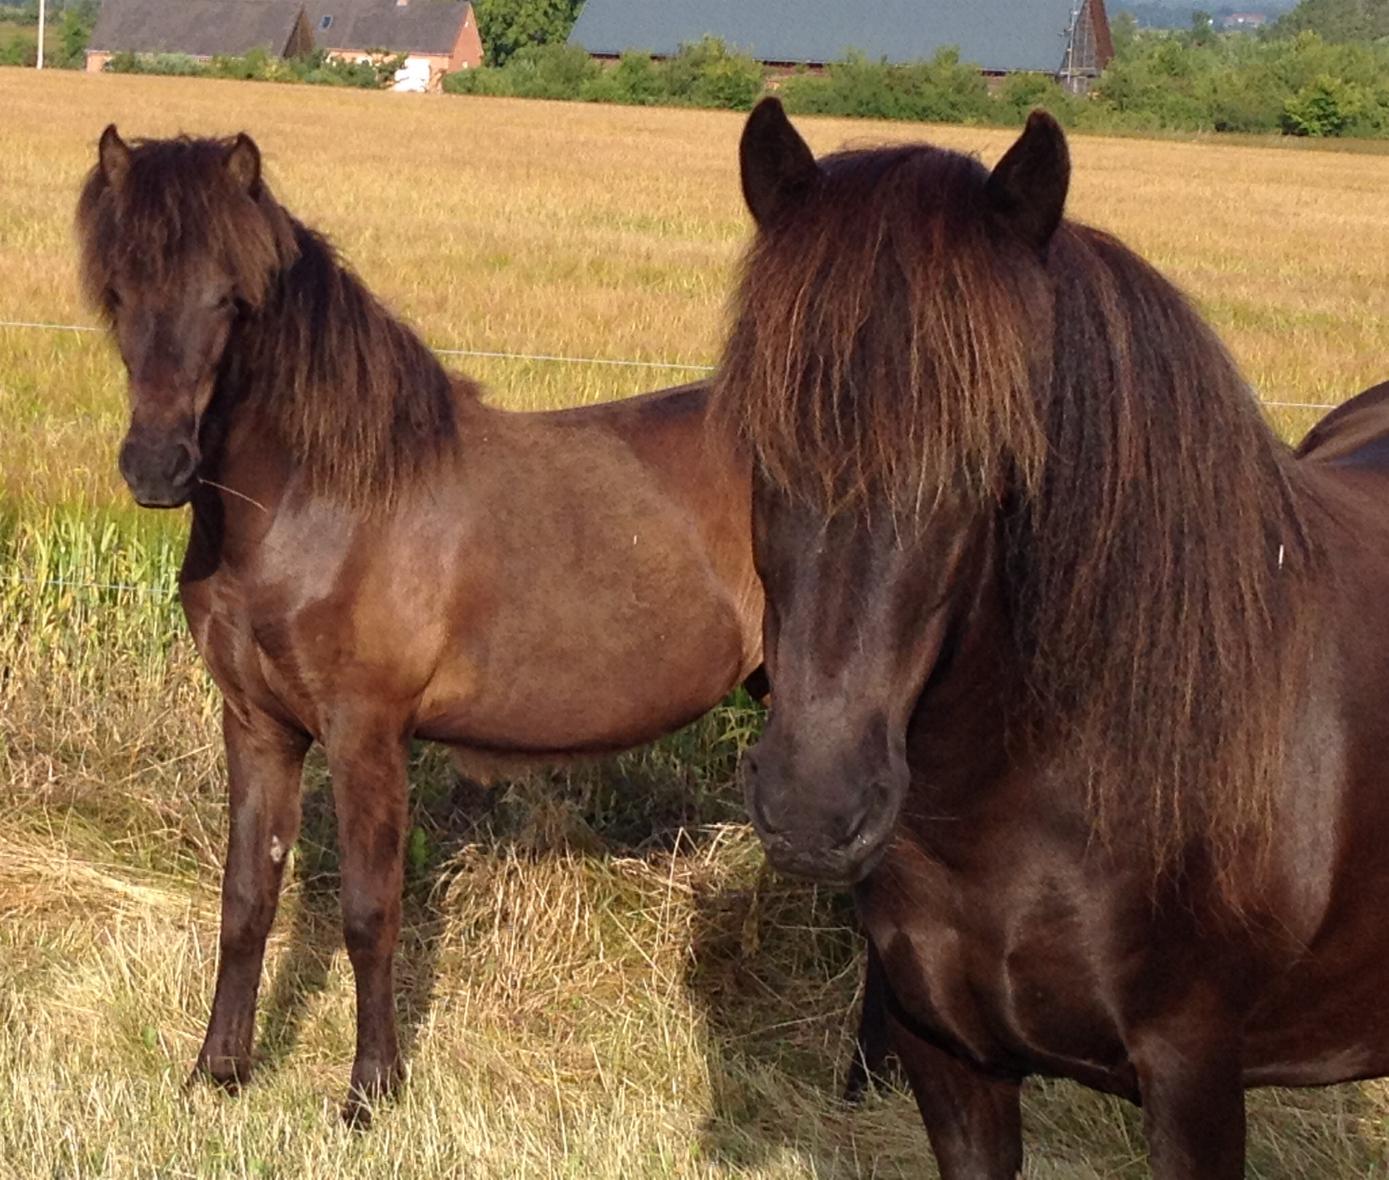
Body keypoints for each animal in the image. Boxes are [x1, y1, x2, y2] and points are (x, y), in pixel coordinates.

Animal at [73, 129, 783, 1121]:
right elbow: (246, 899)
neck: (319, 505)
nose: (156, 467)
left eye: (230, 298)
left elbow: (371, 912)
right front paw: (217, 1072)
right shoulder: (257, 726)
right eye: (120, 293)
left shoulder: (366, 733)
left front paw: (370, 1092)